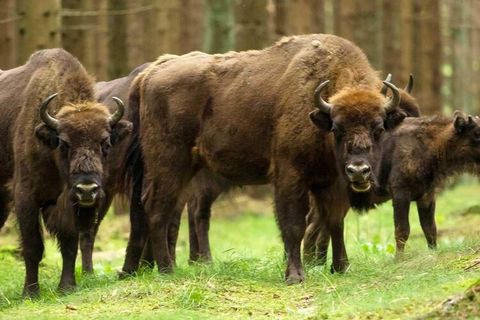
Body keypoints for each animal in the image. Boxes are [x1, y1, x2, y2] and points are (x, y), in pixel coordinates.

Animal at [6, 48, 133, 296]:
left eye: (105, 142)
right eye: (64, 143)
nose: (87, 189)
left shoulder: (70, 202)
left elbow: (70, 241)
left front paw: (67, 286)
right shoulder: (25, 196)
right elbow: (33, 245)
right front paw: (31, 292)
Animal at [124, 35, 416, 284]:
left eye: (378, 128)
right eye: (337, 128)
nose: (358, 170)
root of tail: (150, 74)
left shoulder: (331, 181)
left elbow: (334, 221)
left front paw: (341, 267)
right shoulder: (290, 175)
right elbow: (294, 225)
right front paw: (295, 276)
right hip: (169, 163)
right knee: (158, 209)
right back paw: (167, 270)